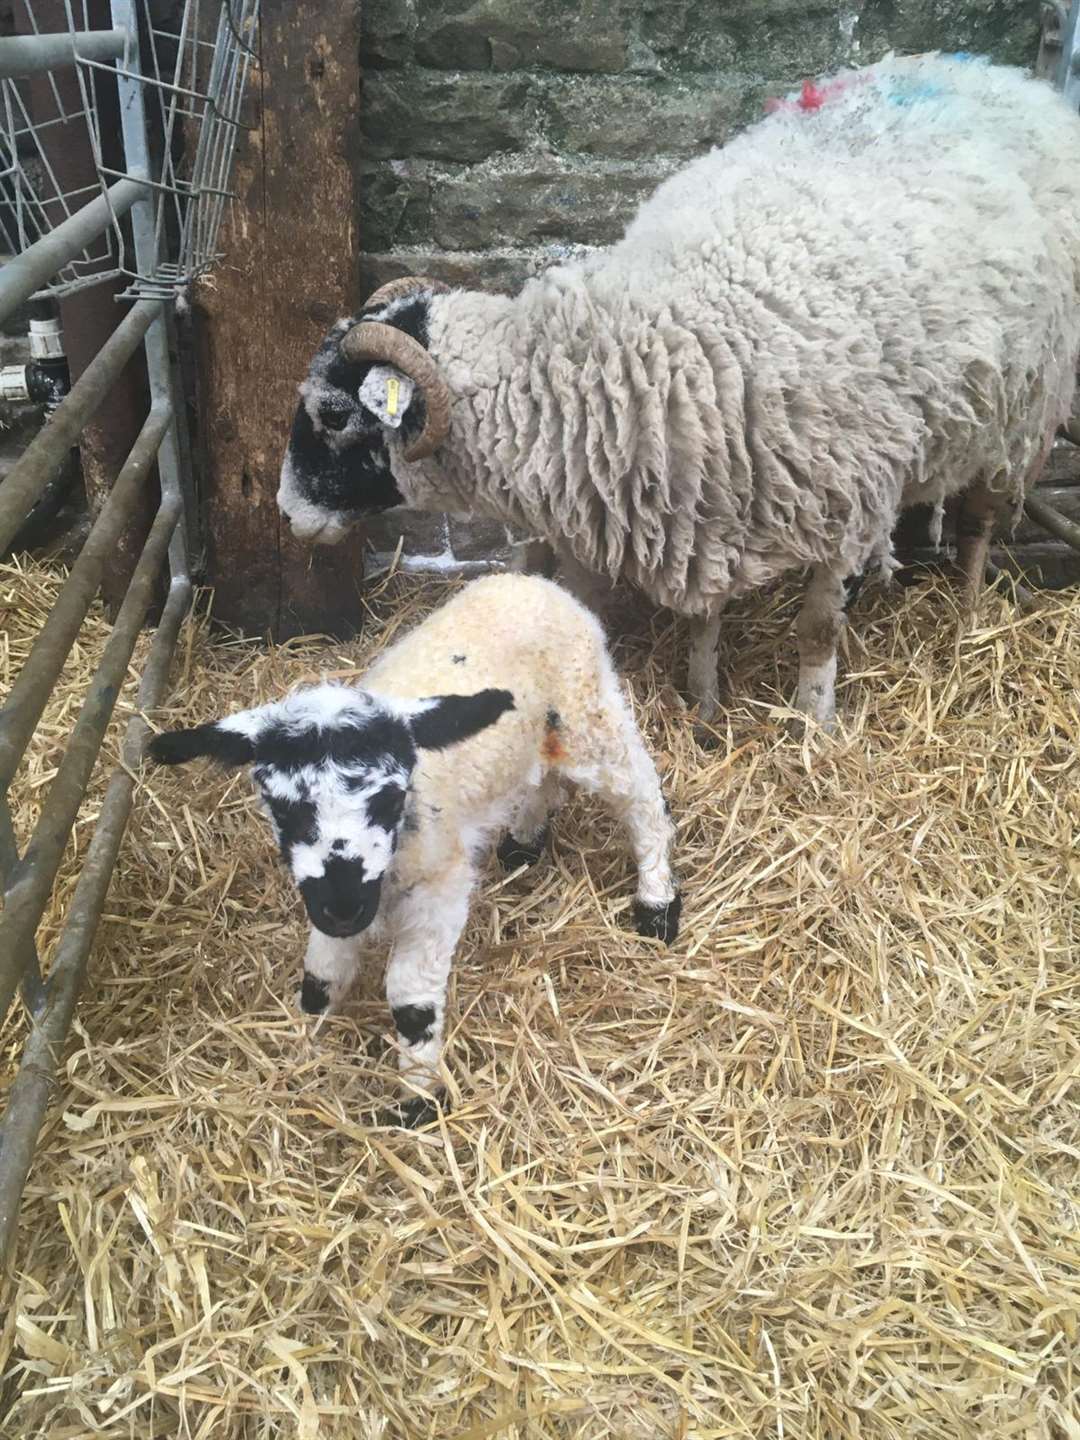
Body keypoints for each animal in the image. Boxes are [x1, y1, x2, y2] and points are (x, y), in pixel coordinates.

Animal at [148, 573, 679, 1123]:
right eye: (282, 807)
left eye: (390, 796)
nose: (344, 908)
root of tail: (534, 582)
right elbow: (321, 975)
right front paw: (299, 1051)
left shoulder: (439, 886)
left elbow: (410, 997)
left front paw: (419, 1098)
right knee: (542, 776)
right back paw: (524, 840)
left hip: (586, 712)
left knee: (641, 794)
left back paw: (657, 904)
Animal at [276, 53, 1080, 731]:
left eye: (336, 416)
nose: (286, 514)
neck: (630, 355)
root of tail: (999, 76)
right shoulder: (700, 508)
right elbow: (704, 620)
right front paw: (703, 708)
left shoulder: (847, 498)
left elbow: (818, 629)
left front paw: (813, 724)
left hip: (1027, 406)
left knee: (983, 517)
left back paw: (970, 614)